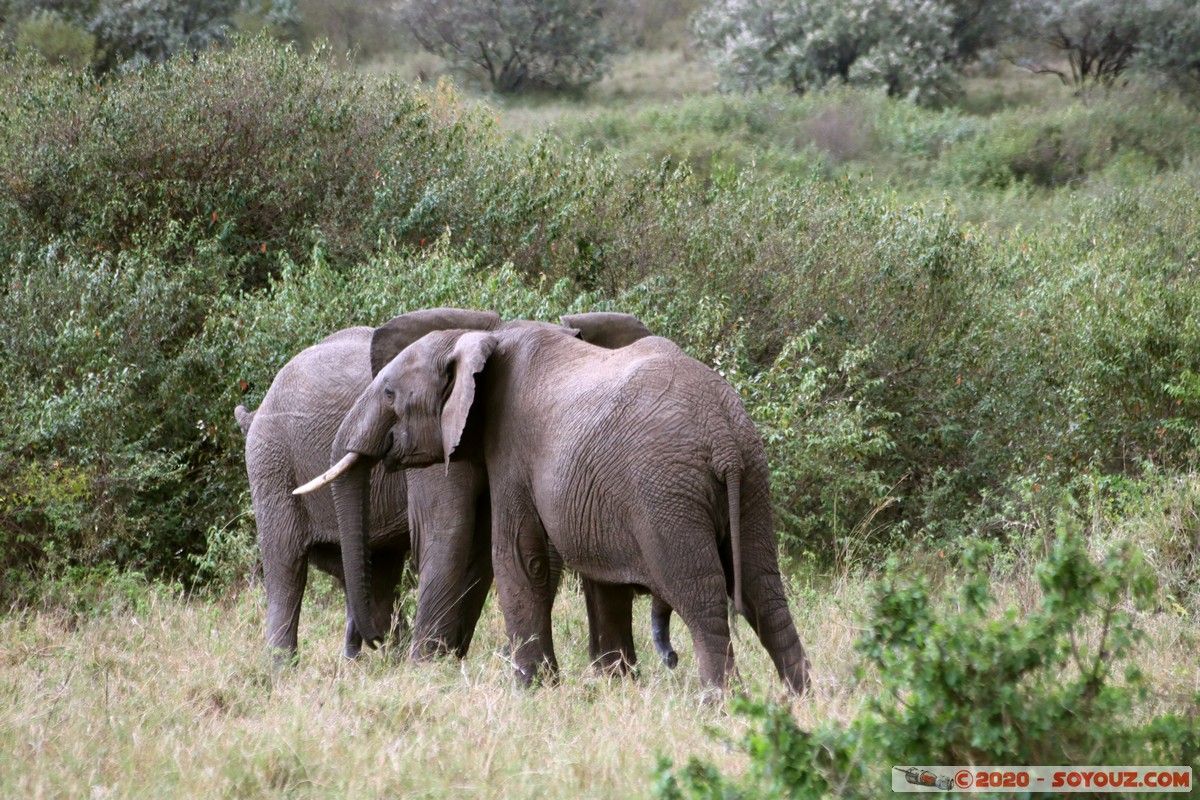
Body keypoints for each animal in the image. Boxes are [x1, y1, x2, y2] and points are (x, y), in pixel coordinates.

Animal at [295, 326, 811, 695]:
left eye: (388, 393)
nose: (374, 645)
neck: (473, 340)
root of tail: (724, 440)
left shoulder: (511, 445)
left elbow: (518, 555)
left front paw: (531, 688)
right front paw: (609, 686)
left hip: (668, 495)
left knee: (700, 595)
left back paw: (721, 703)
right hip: (753, 479)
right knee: (764, 589)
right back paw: (801, 697)